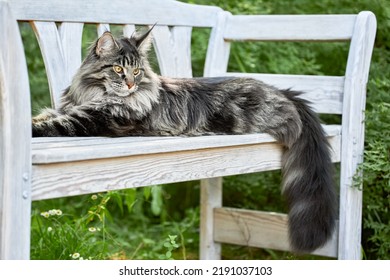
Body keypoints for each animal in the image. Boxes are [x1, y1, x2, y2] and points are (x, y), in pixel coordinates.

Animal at [32, 26, 338, 254]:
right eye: (118, 70)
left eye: (137, 71)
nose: (130, 84)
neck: (94, 95)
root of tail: (283, 91)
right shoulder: (68, 110)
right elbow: (42, 117)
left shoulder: (90, 121)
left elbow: (48, 126)